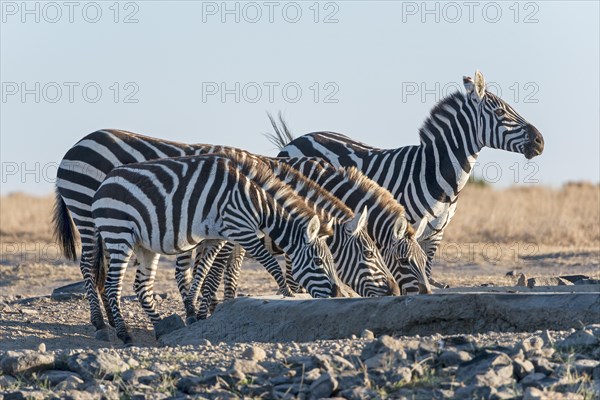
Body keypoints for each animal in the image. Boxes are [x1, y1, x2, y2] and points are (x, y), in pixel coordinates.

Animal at [90, 155, 342, 346]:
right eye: (318, 262)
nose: (337, 294)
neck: (258, 203)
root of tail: (104, 182)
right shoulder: (240, 230)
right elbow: (270, 263)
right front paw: (288, 292)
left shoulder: (215, 237)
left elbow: (203, 274)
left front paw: (194, 313)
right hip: (118, 233)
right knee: (113, 285)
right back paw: (124, 334)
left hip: (143, 245)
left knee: (141, 286)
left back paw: (163, 327)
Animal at [268, 70, 544, 286]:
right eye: (499, 111)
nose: (540, 141)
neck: (434, 171)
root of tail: (294, 141)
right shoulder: (402, 225)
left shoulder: (435, 233)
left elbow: (426, 268)